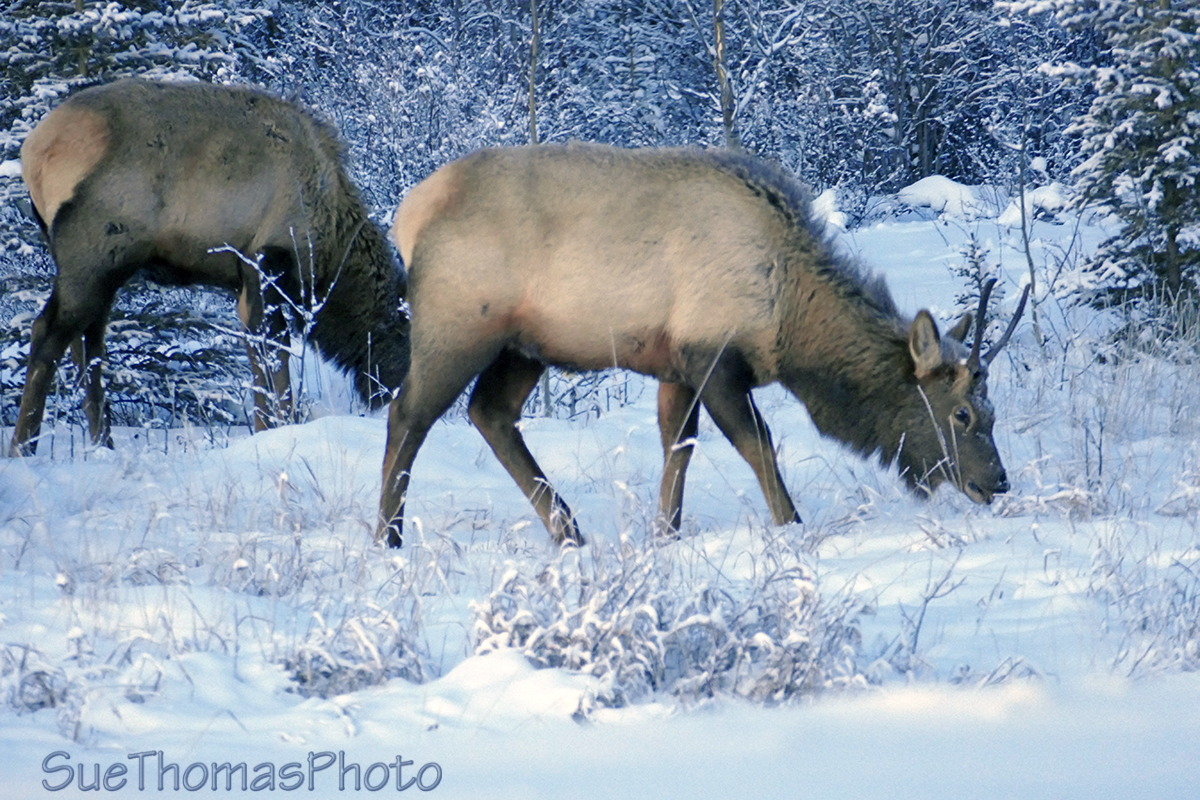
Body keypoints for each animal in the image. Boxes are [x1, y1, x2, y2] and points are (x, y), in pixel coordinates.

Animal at [8, 78, 409, 457]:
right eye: (408, 340)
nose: (395, 397)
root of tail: (32, 151)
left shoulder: (249, 283)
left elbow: (271, 359)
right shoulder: (264, 265)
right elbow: (270, 359)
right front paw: (270, 429)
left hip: (100, 269)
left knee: (88, 345)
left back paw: (101, 443)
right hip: (94, 252)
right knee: (48, 333)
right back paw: (23, 447)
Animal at [376, 143, 1027, 547]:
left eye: (995, 412)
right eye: (962, 413)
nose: (998, 481)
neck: (790, 319)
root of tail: (406, 215)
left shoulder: (675, 367)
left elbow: (679, 446)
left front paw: (666, 533)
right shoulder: (711, 355)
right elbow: (757, 444)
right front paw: (791, 525)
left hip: (523, 347)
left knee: (490, 414)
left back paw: (569, 532)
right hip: (459, 325)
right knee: (408, 414)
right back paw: (388, 536)